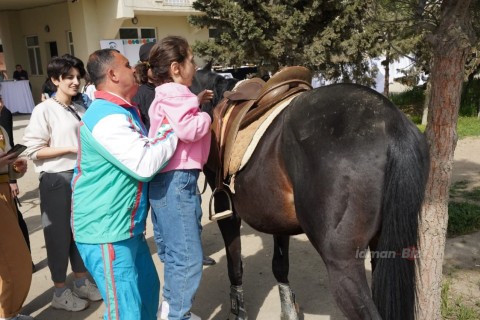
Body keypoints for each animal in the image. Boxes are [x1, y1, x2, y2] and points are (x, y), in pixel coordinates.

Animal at [189, 65, 430, 320]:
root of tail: (391, 122)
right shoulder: (275, 216)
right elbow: (280, 266)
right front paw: (289, 311)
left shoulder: (226, 210)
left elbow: (235, 265)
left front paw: (238, 312)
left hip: (343, 264)